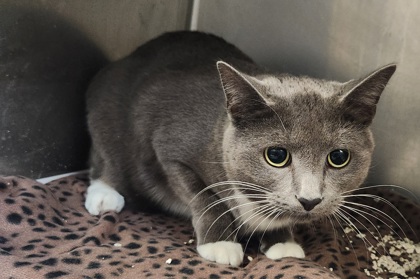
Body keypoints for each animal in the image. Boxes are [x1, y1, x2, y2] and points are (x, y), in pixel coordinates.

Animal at [83, 30, 398, 266]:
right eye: (276, 156)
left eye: (339, 157)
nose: (309, 200)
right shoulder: (167, 149)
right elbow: (204, 197)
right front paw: (220, 244)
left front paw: (282, 242)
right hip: (106, 115)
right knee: (103, 159)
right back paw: (104, 196)